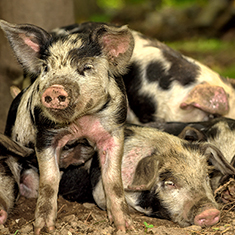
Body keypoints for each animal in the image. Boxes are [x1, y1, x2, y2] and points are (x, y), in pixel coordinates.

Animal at [0, 20, 134, 233]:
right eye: (46, 67)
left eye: (86, 67)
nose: (54, 89)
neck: (81, 124)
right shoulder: (45, 135)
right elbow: (49, 182)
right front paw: (43, 230)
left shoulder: (113, 129)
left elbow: (113, 180)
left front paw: (124, 227)